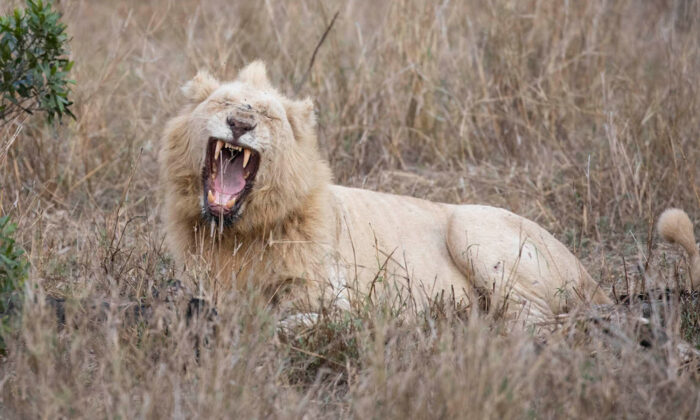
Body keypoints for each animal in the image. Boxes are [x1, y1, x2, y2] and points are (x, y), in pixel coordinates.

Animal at [159, 61, 698, 327]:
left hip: (473, 227)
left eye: (267, 115)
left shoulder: (341, 300)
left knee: (537, 319)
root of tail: (589, 274)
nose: (240, 123)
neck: (237, 234)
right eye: (225, 103)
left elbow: (285, 319)